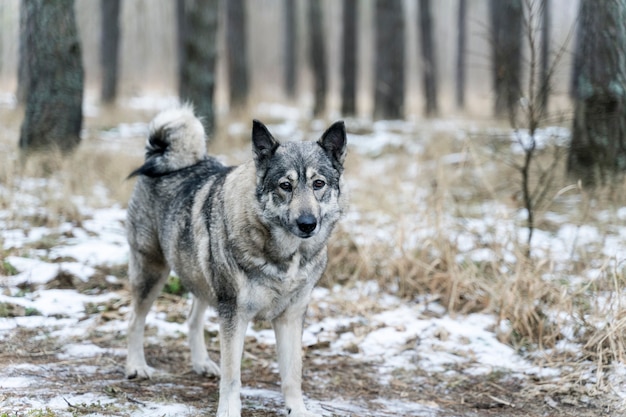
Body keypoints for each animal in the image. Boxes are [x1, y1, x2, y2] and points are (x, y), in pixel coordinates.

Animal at [122, 105, 346, 416]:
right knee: (135, 319)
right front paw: (229, 411)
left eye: (318, 184)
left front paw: (298, 410)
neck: (285, 257)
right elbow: (232, 376)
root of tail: (159, 155)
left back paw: (201, 363)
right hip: (152, 274)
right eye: (285, 186)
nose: (307, 224)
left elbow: (292, 374)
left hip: (203, 280)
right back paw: (136, 366)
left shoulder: (290, 317)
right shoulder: (235, 315)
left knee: (192, 319)